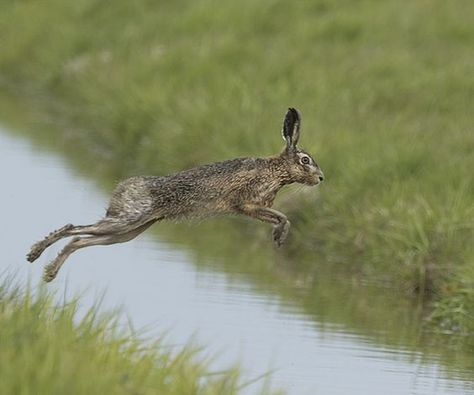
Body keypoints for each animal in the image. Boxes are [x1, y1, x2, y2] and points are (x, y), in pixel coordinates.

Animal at [26, 108, 326, 282]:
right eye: (305, 161)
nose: (321, 178)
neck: (276, 171)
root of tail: (123, 188)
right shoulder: (248, 204)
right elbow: (283, 217)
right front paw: (279, 237)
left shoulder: (252, 208)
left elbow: (280, 216)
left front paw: (278, 237)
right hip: (128, 220)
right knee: (73, 229)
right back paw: (35, 255)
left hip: (128, 232)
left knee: (79, 240)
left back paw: (49, 272)